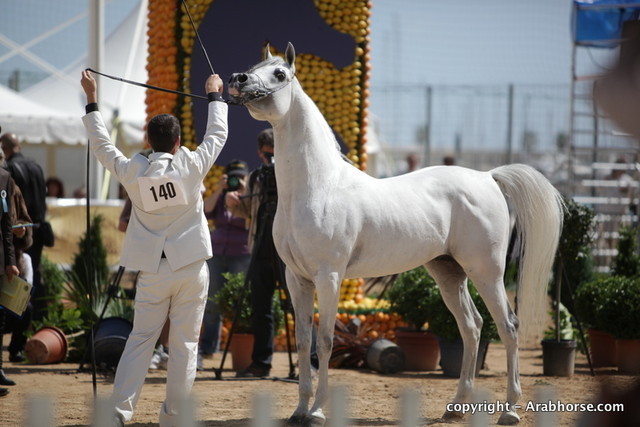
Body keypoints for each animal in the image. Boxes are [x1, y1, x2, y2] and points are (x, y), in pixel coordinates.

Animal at [228, 42, 564, 426]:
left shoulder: (329, 277)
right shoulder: (297, 279)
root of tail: (488, 176)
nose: (238, 79)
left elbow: (324, 341)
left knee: (507, 326)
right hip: (448, 272)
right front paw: (299, 411)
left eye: (279, 73)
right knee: (472, 326)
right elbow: (302, 342)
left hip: (486, 271)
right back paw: (456, 406)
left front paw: (317, 412)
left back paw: (509, 410)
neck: (319, 187)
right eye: (255, 66)